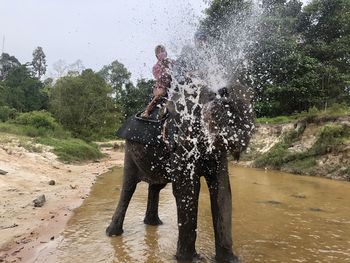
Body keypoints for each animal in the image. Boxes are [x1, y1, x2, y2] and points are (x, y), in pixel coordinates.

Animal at [106, 81, 254, 263]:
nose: (225, 92)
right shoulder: (181, 143)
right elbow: (188, 189)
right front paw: (191, 260)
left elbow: (222, 190)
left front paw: (230, 260)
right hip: (130, 151)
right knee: (129, 186)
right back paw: (113, 233)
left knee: (156, 186)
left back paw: (154, 224)